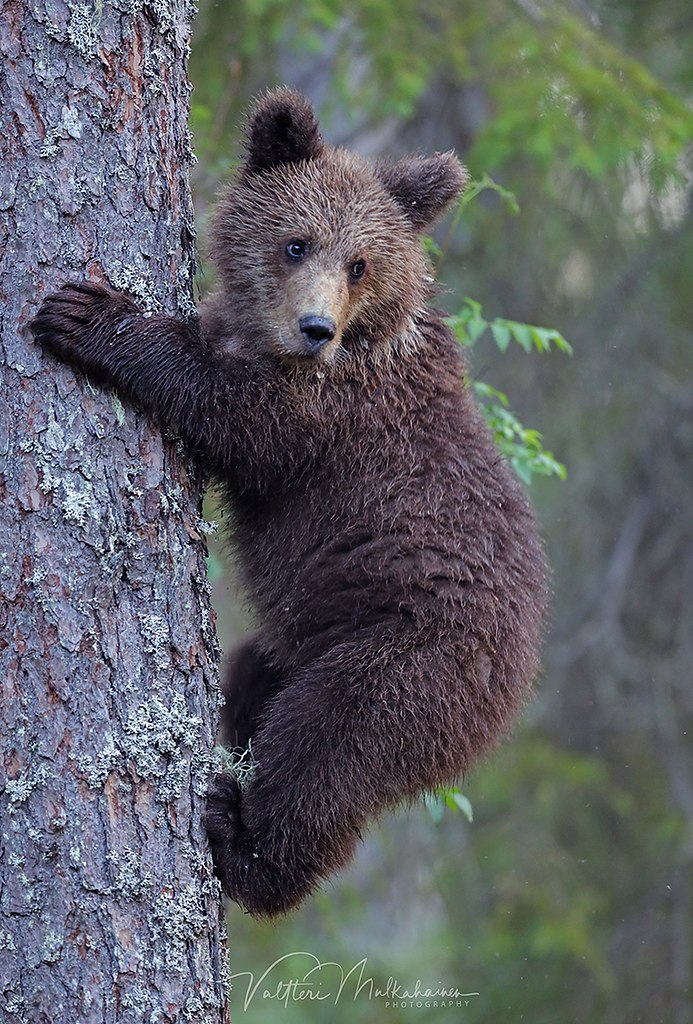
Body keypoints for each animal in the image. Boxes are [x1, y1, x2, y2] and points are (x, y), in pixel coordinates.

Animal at [29, 88, 544, 921]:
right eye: (296, 244)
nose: (315, 328)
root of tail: (519, 679)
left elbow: (229, 411)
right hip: (296, 645)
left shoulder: (329, 417)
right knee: (255, 681)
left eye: (359, 263)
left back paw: (242, 848)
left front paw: (89, 316)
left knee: (326, 751)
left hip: (407, 658)